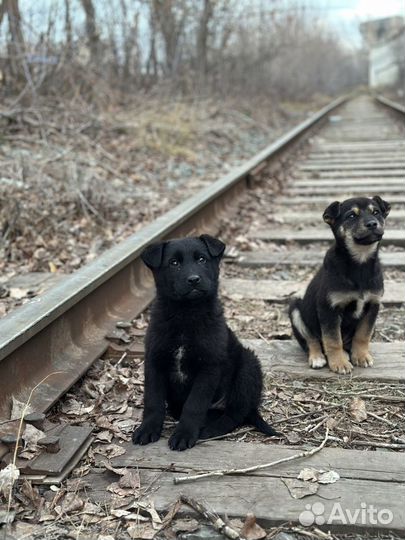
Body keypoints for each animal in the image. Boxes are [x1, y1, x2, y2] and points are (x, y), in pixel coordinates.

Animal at [131, 234, 276, 450]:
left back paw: (210, 430)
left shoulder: (209, 367)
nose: (194, 280)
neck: (186, 315)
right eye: (174, 263)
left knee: (235, 413)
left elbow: (194, 405)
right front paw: (148, 428)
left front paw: (184, 434)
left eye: (201, 259)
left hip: (248, 368)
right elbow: (153, 400)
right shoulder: (154, 361)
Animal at [288, 195, 388, 376]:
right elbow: (333, 339)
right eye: (351, 216)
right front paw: (339, 363)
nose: (372, 224)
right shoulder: (328, 309)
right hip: (295, 309)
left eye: (376, 212)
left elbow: (363, 334)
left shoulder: (373, 305)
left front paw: (361, 356)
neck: (359, 263)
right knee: (311, 340)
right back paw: (318, 357)